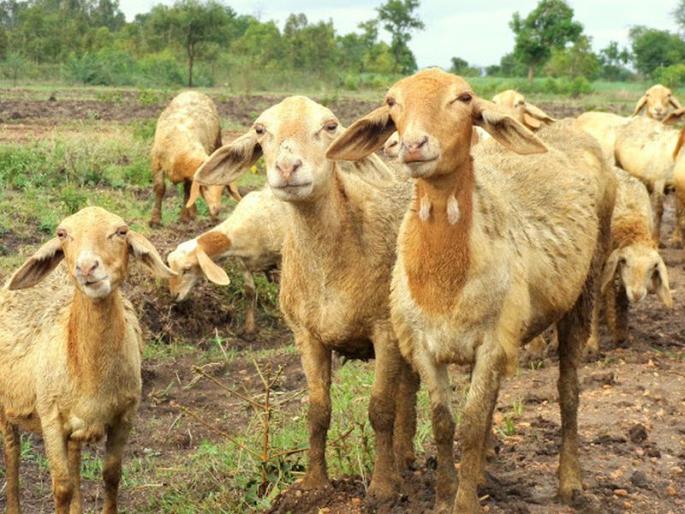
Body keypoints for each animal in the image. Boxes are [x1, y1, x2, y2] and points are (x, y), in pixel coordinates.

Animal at [0, 206, 175, 514]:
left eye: (121, 231)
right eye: (62, 234)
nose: (86, 267)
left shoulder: (125, 415)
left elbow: (111, 475)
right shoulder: (50, 417)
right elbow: (61, 487)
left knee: (75, 456)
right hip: (6, 403)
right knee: (12, 450)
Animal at [149, 91, 241, 226]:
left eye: (222, 189)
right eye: (205, 187)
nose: (216, 210)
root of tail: (194, 91)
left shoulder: (189, 175)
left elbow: (188, 192)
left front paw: (185, 218)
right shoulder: (157, 164)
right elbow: (160, 188)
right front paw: (155, 220)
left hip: (217, 142)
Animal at [167, 187, 287, 336]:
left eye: (187, 269)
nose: (174, 295)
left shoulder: (282, 258)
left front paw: (285, 320)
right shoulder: (243, 264)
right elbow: (249, 292)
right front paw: (249, 329)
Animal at [192, 96, 420, 502]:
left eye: (329, 127)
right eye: (261, 130)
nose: (287, 167)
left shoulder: (385, 331)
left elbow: (380, 410)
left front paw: (382, 487)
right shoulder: (306, 335)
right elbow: (317, 411)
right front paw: (314, 484)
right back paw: (404, 455)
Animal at [327, 68, 615, 512]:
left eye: (463, 98)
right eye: (392, 102)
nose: (413, 145)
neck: (444, 281)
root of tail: (567, 128)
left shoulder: (493, 342)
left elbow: (472, 424)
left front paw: (465, 503)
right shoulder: (423, 346)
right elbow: (444, 423)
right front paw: (445, 495)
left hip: (583, 290)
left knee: (568, 391)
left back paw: (570, 482)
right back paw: (481, 473)